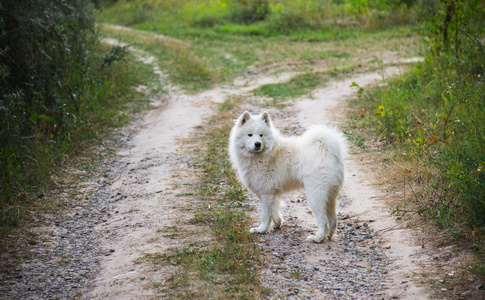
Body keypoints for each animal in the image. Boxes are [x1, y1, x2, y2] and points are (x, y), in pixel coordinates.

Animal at [229, 111, 346, 243]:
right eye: (249, 135)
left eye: (261, 135)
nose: (257, 144)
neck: (263, 154)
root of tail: (328, 151)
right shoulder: (271, 193)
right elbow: (274, 209)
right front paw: (277, 224)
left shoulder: (266, 192)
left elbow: (265, 214)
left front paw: (262, 229)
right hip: (329, 194)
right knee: (333, 218)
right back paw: (329, 235)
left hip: (315, 194)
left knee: (322, 218)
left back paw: (318, 238)